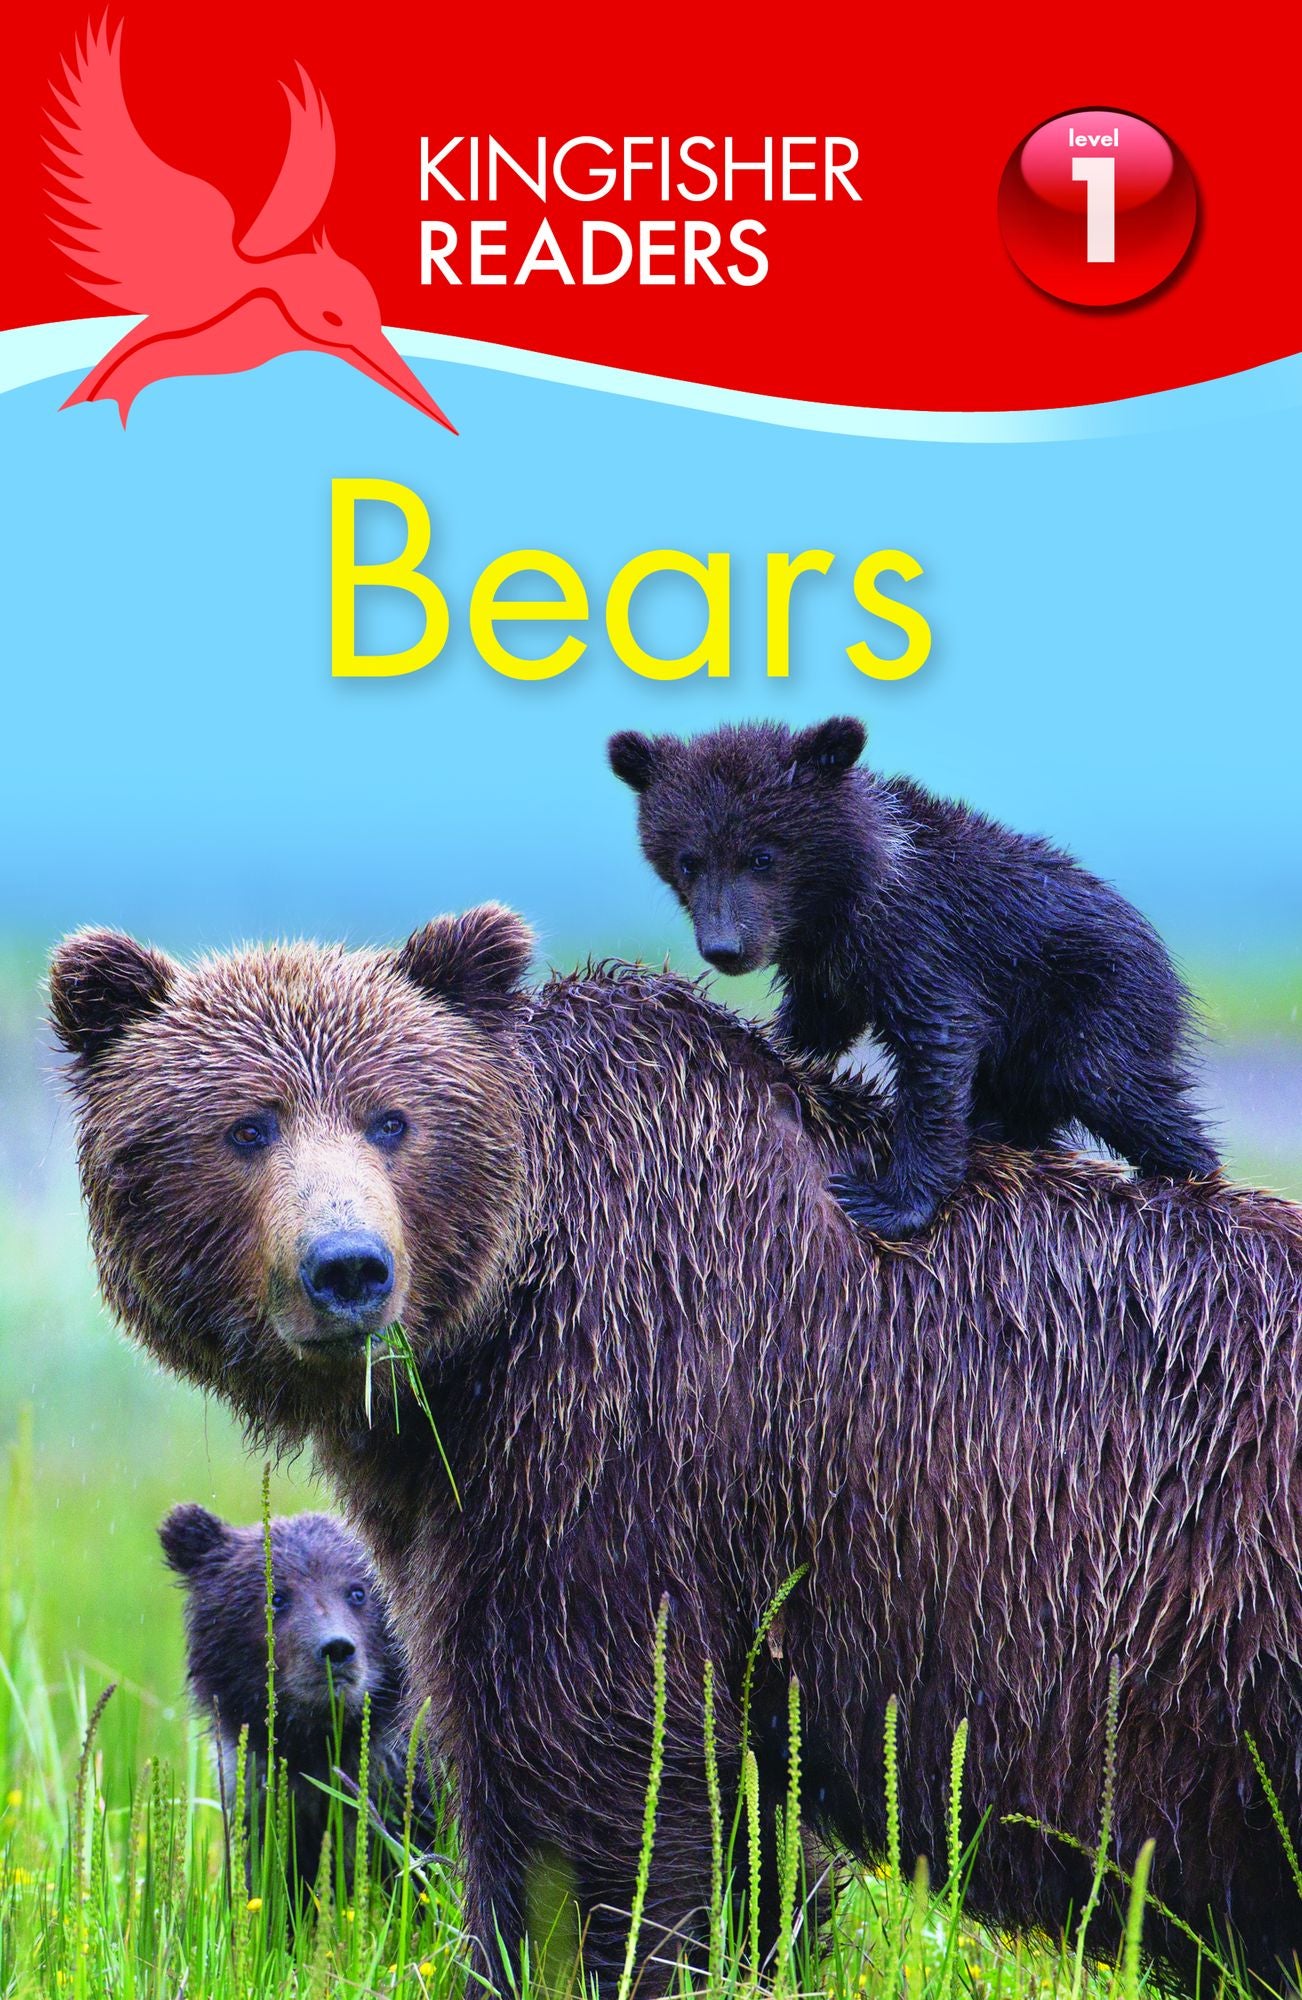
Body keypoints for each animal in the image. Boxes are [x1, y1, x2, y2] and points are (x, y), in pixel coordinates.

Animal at [608, 716, 1220, 1237]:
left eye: (762, 856)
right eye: (690, 859)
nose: (726, 947)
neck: (841, 900)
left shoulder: (921, 942)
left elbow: (938, 1048)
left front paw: (886, 1201)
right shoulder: (825, 967)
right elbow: (815, 1028)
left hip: (1094, 1002)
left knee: (1117, 1086)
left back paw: (1185, 1178)